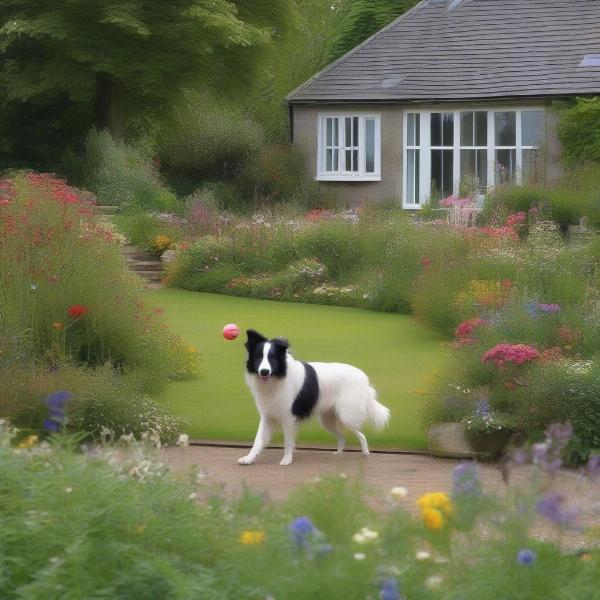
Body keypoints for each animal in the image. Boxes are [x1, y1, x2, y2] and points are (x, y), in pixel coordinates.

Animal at [239, 330, 390, 466]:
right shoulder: (267, 416)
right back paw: (339, 453)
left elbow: (288, 441)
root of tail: (364, 380)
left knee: (361, 435)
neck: (278, 378)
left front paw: (287, 460)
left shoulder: (288, 418)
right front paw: (248, 459)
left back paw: (365, 454)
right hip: (327, 420)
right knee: (342, 436)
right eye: (258, 357)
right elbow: (258, 440)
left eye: (273, 358)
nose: (264, 371)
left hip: (346, 417)